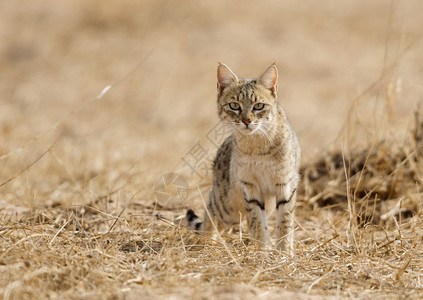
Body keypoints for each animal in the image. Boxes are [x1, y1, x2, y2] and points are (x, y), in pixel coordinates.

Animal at [186, 62, 302, 253]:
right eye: (234, 105)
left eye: (259, 106)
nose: (246, 121)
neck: (257, 145)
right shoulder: (250, 186)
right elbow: (257, 221)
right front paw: (263, 250)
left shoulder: (285, 184)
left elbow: (285, 221)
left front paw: (283, 251)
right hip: (226, 205)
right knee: (210, 211)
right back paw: (208, 241)